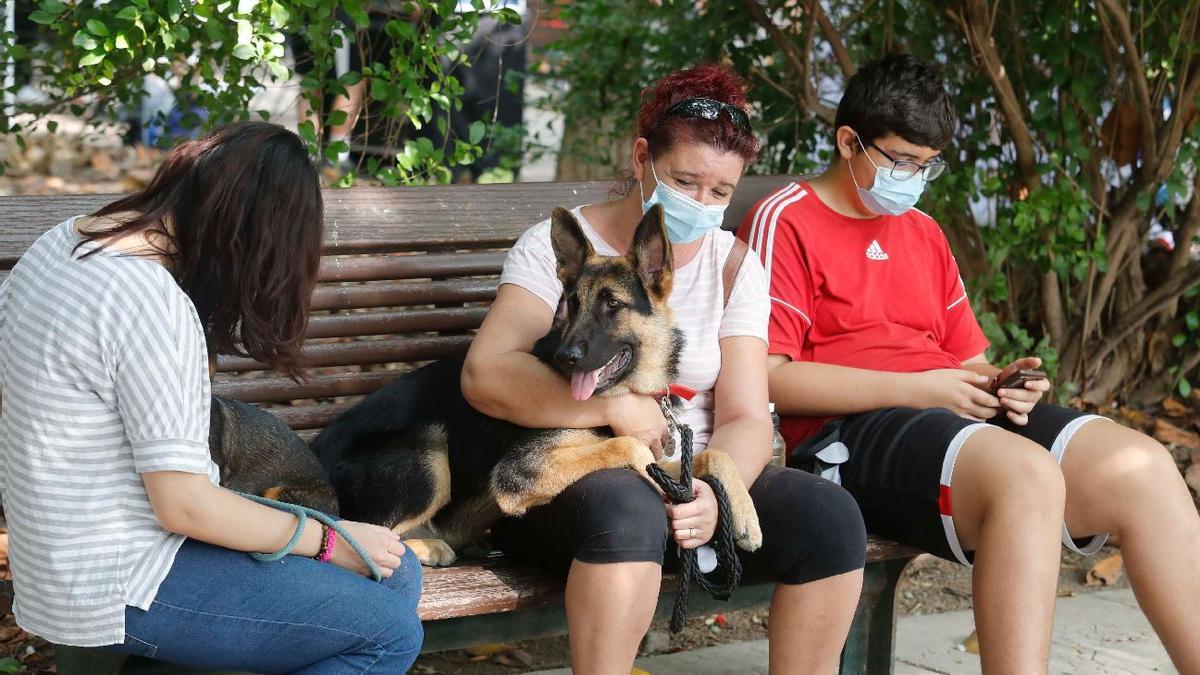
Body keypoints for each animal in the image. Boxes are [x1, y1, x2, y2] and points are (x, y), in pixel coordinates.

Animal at [312, 205, 758, 562]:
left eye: (612, 304)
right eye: (572, 304)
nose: (565, 357)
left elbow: (714, 455)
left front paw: (745, 517)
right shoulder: (519, 473)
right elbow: (629, 446)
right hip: (429, 450)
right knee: (362, 532)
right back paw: (427, 546)